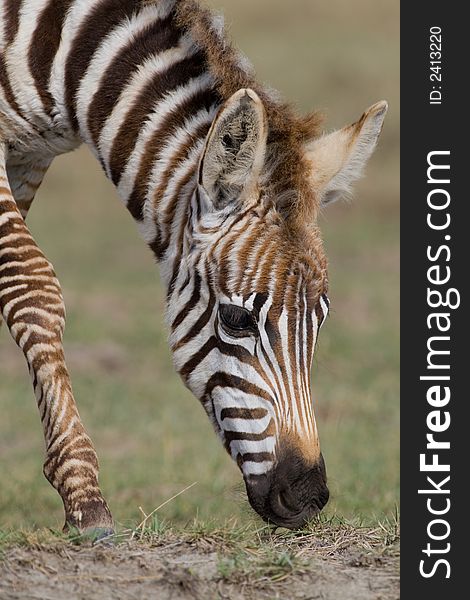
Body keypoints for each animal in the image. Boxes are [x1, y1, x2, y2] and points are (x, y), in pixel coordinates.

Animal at [0, 0, 388, 536]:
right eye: (237, 319)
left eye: (321, 319)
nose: (307, 497)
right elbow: (31, 284)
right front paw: (85, 499)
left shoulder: (29, 156)